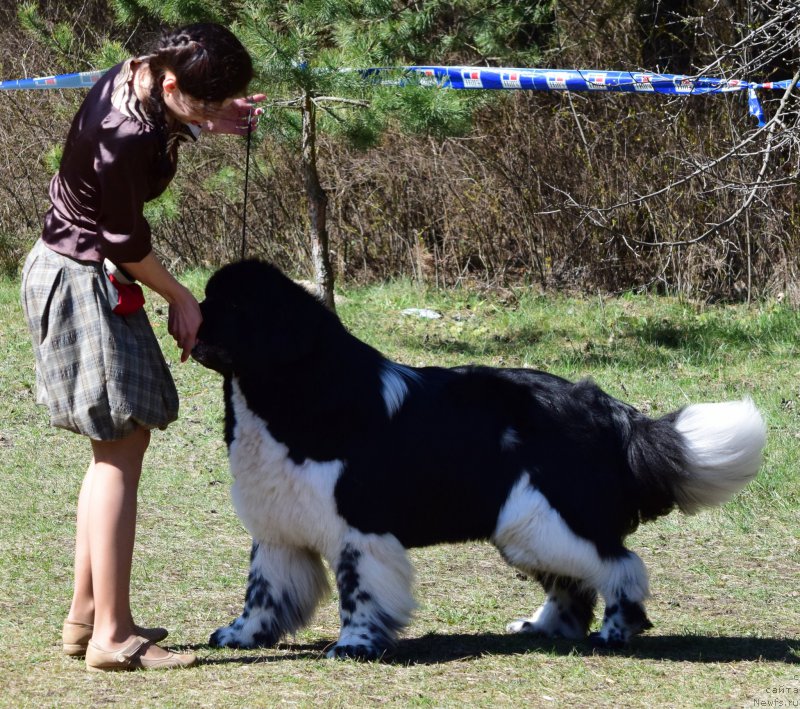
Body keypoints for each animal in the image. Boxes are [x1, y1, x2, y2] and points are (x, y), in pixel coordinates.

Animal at [192, 260, 768, 660]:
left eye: (238, 308)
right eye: (210, 297)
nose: (194, 318)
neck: (287, 390)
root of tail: (608, 408)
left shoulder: (360, 529)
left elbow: (358, 591)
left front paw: (355, 645)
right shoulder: (278, 528)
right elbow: (263, 592)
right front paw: (240, 635)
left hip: (546, 518)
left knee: (619, 565)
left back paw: (614, 631)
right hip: (527, 527)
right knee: (573, 581)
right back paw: (541, 628)